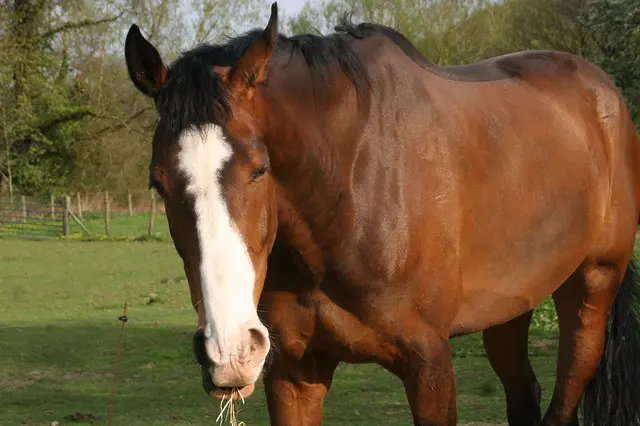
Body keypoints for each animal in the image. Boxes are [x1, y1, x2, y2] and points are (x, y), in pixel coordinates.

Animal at [124, 3, 640, 425]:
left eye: (259, 169)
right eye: (157, 183)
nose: (229, 351)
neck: (349, 202)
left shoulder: (429, 365)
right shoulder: (294, 371)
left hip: (592, 286)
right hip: (510, 307)